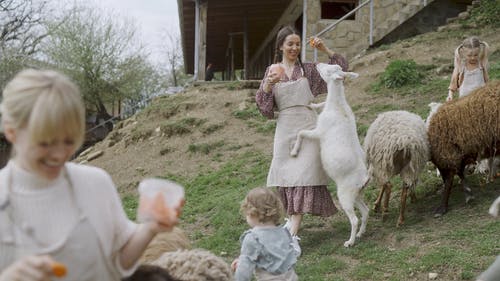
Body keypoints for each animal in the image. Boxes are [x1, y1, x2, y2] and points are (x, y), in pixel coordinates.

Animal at [292, 63, 370, 245]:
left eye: (328, 70)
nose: (318, 64)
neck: (337, 107)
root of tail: (364, 178)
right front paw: (311, 105)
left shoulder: (319, 132)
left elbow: (301, 133)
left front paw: (294, 152)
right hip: (356, 194)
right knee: (366, 211)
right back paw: (360, 234)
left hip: (345, 195)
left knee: (354, 219)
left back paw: (350, 242)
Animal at [426, 80, 500, 215]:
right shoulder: (453, 157)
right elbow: (458, 174)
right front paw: (468, 193)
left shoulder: (448, 156)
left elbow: (448, 181)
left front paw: (442, 208)